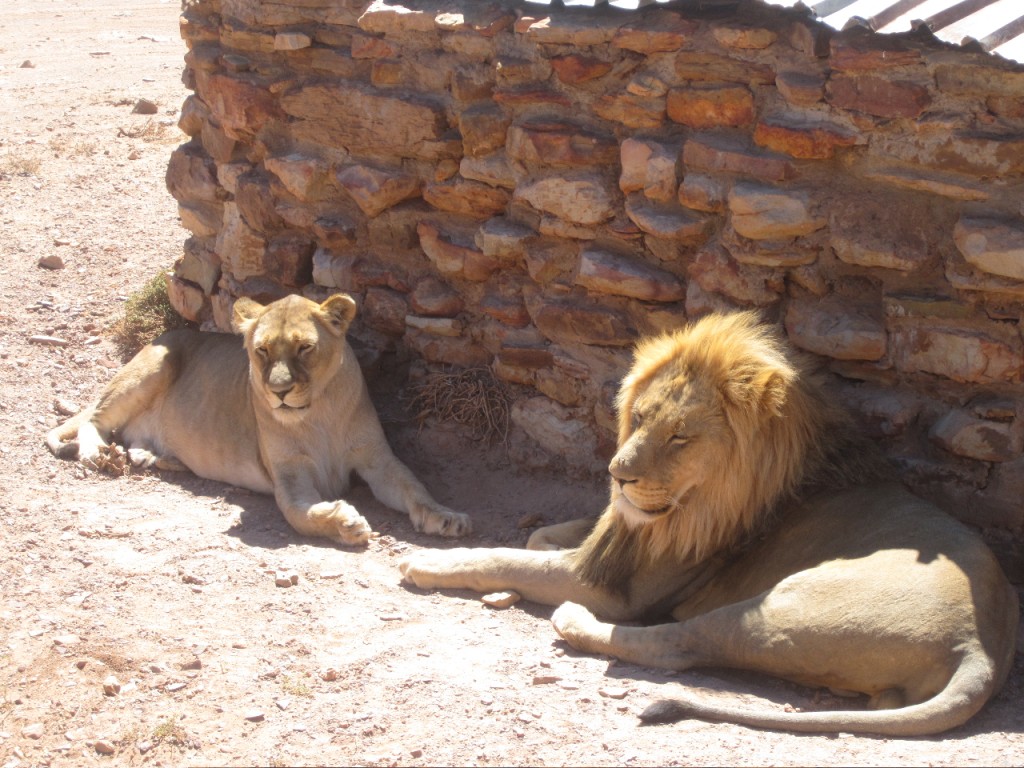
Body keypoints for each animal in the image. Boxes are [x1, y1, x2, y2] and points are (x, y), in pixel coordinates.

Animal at [47, 293, 471, 545]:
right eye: (262, 350)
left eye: (305, 348)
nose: (279, 391)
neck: (319, 414)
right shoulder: (289, 475)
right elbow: (302, 513)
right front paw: (344, 522)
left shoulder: (377, 460)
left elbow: (414, 487)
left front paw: (446, 517)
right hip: (152, 366)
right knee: (95, 418)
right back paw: (98, 454)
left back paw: (150, 456)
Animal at [400, 311, 1019, 736]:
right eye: (639, 418)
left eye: (679, 437)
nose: (617, 475)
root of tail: (981, 648)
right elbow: (539, 537)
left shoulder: (619, 588)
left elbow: (505, 556)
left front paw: (428, 560)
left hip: (781, 608)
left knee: (677, 645)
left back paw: (572, 619)